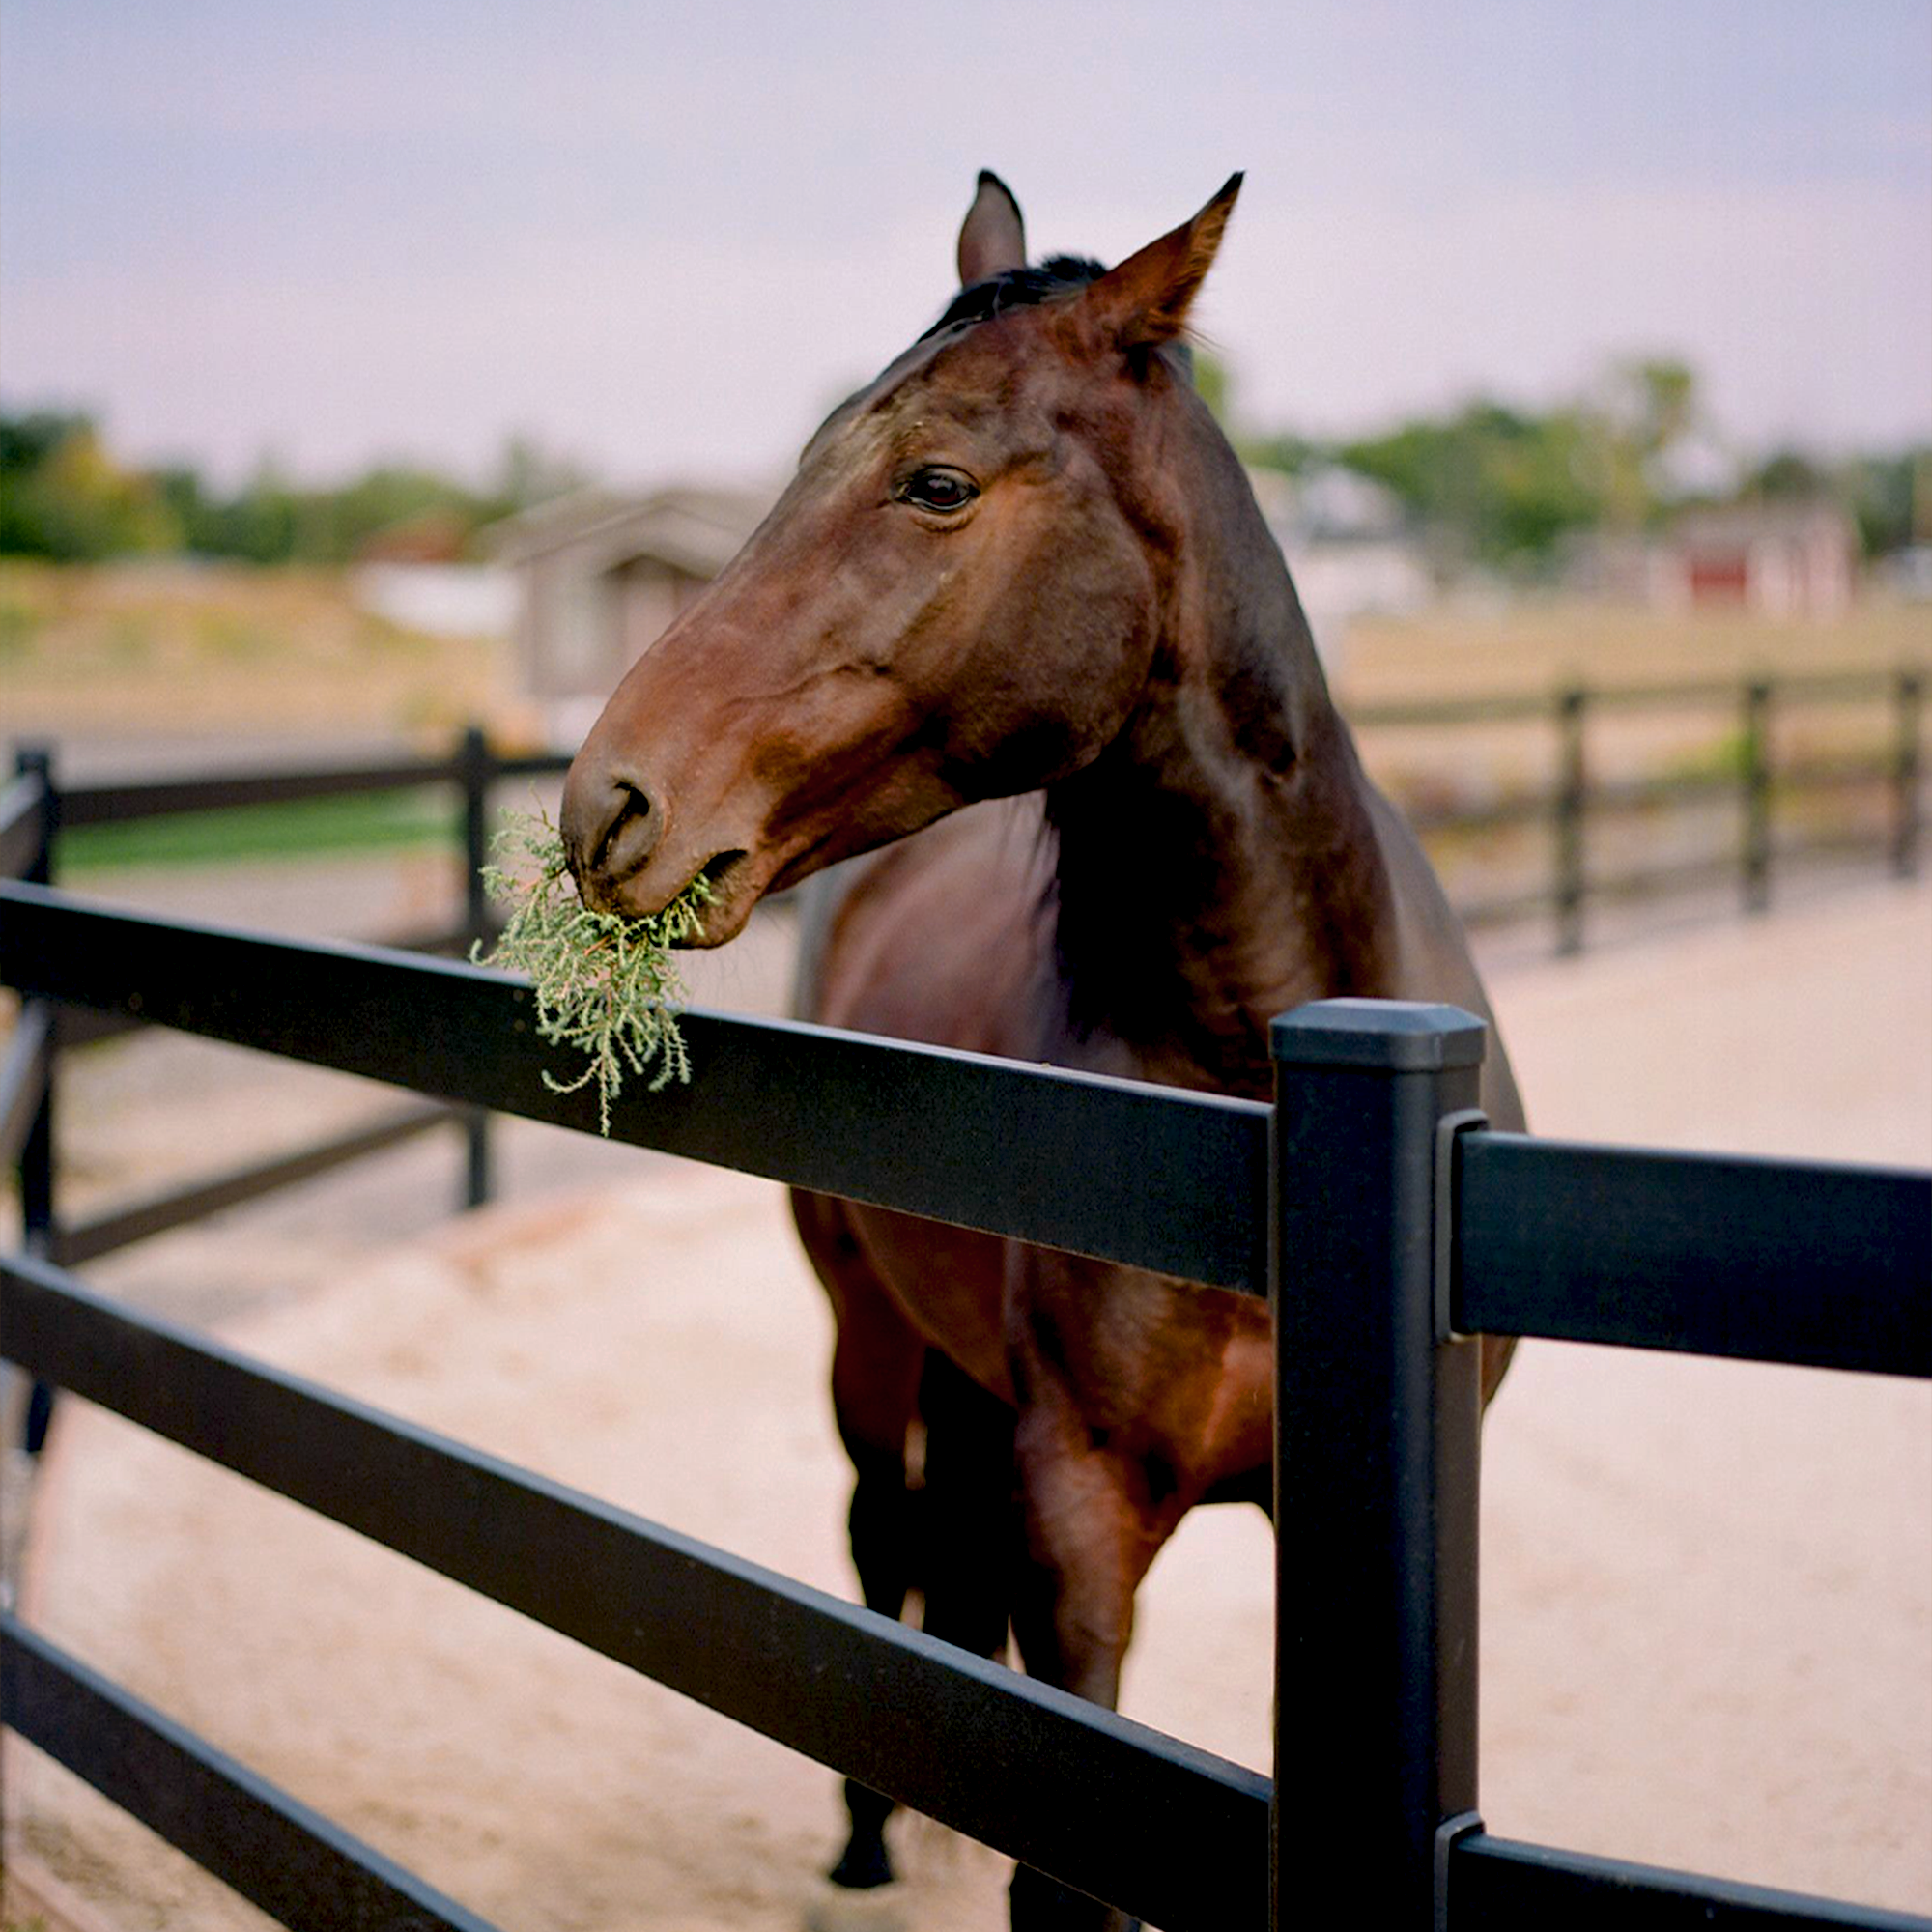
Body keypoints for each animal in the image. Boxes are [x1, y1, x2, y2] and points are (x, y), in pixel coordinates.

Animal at [561, 170, 1524, 1929]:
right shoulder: (1083, 1517)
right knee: (879, 1539)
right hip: (865, 1329)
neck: (1253, 1092)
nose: (611, 800)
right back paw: (870, 1837)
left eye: (936, 483)